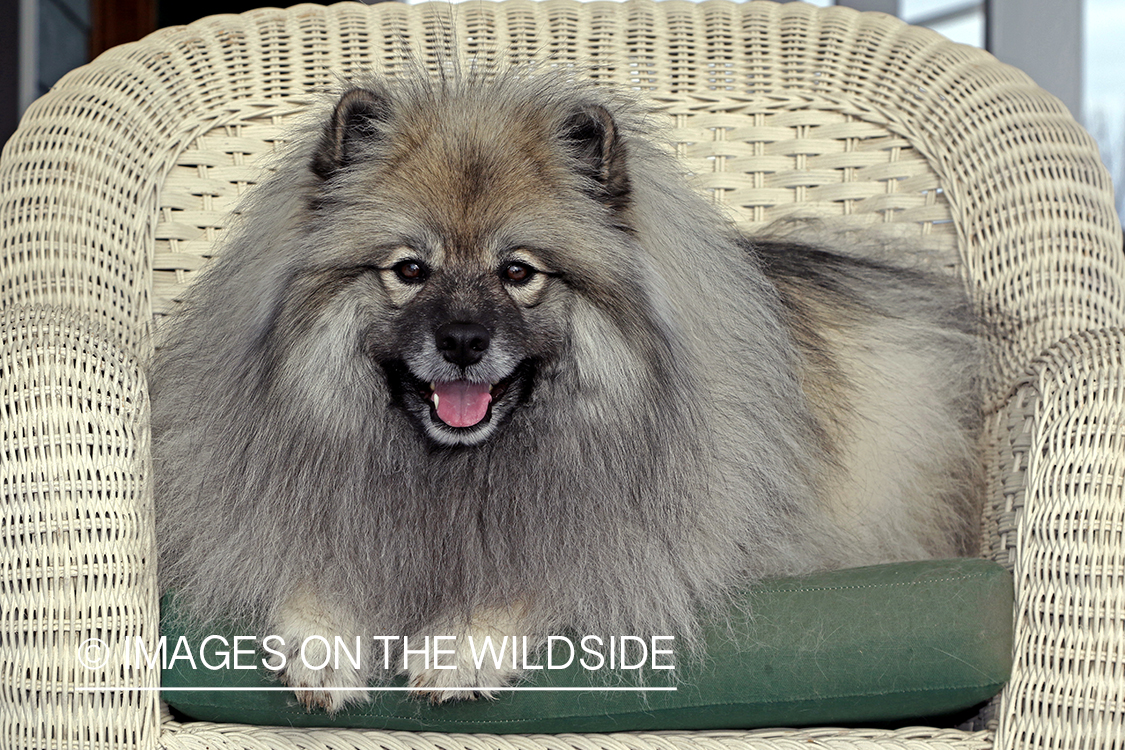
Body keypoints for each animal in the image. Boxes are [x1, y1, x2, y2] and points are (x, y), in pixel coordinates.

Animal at [151, 68, 985, 710]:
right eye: (409, 270)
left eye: (518, 272)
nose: (462, 342)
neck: (454, 474)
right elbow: (305, 572)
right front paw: (322, 646)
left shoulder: (642, 542)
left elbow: (543, 578)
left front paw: (461, 644)